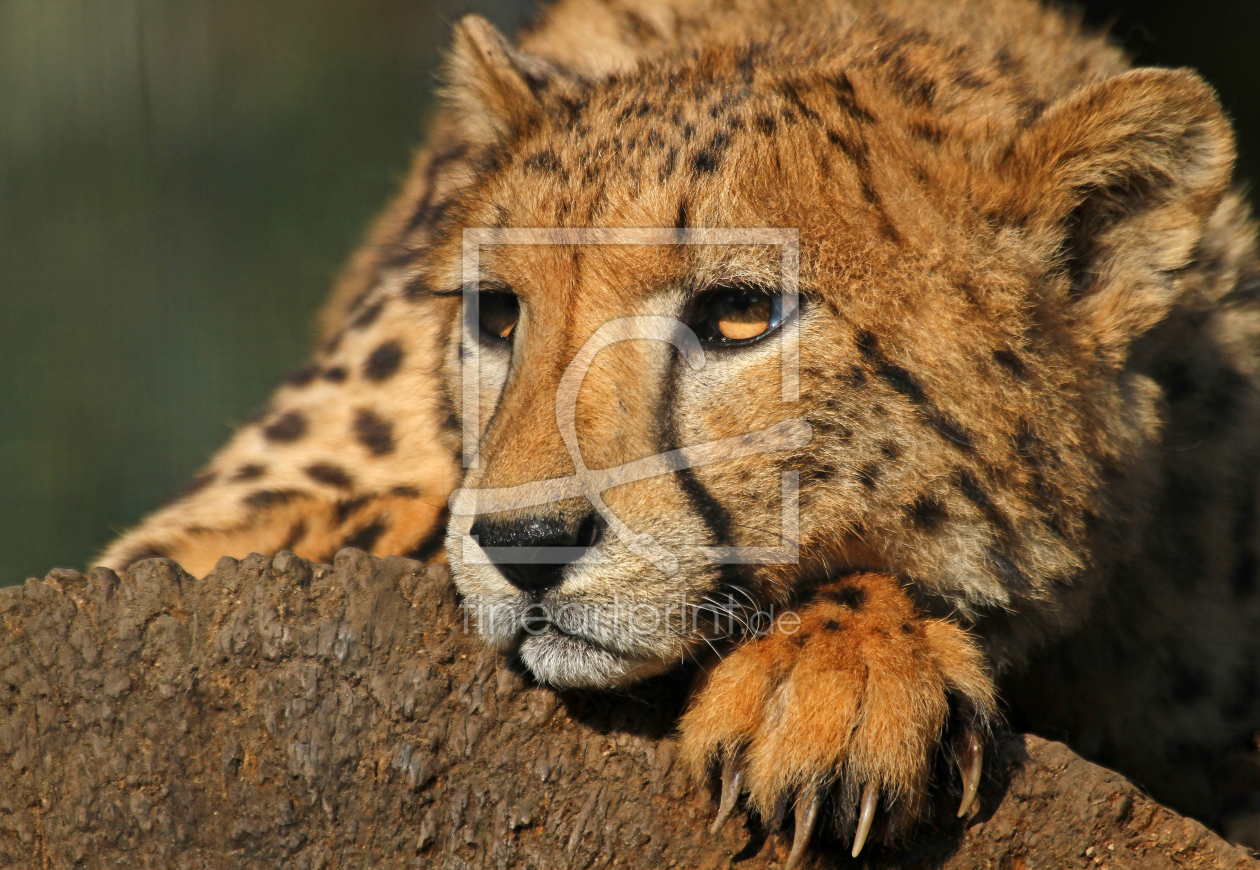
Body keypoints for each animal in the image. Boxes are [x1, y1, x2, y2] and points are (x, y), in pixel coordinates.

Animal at [98, 0, 1260, 857]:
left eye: (741, 312)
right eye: (497, 314)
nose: (526, 549)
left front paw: (829, 674)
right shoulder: (195, 538)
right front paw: (843, 674)